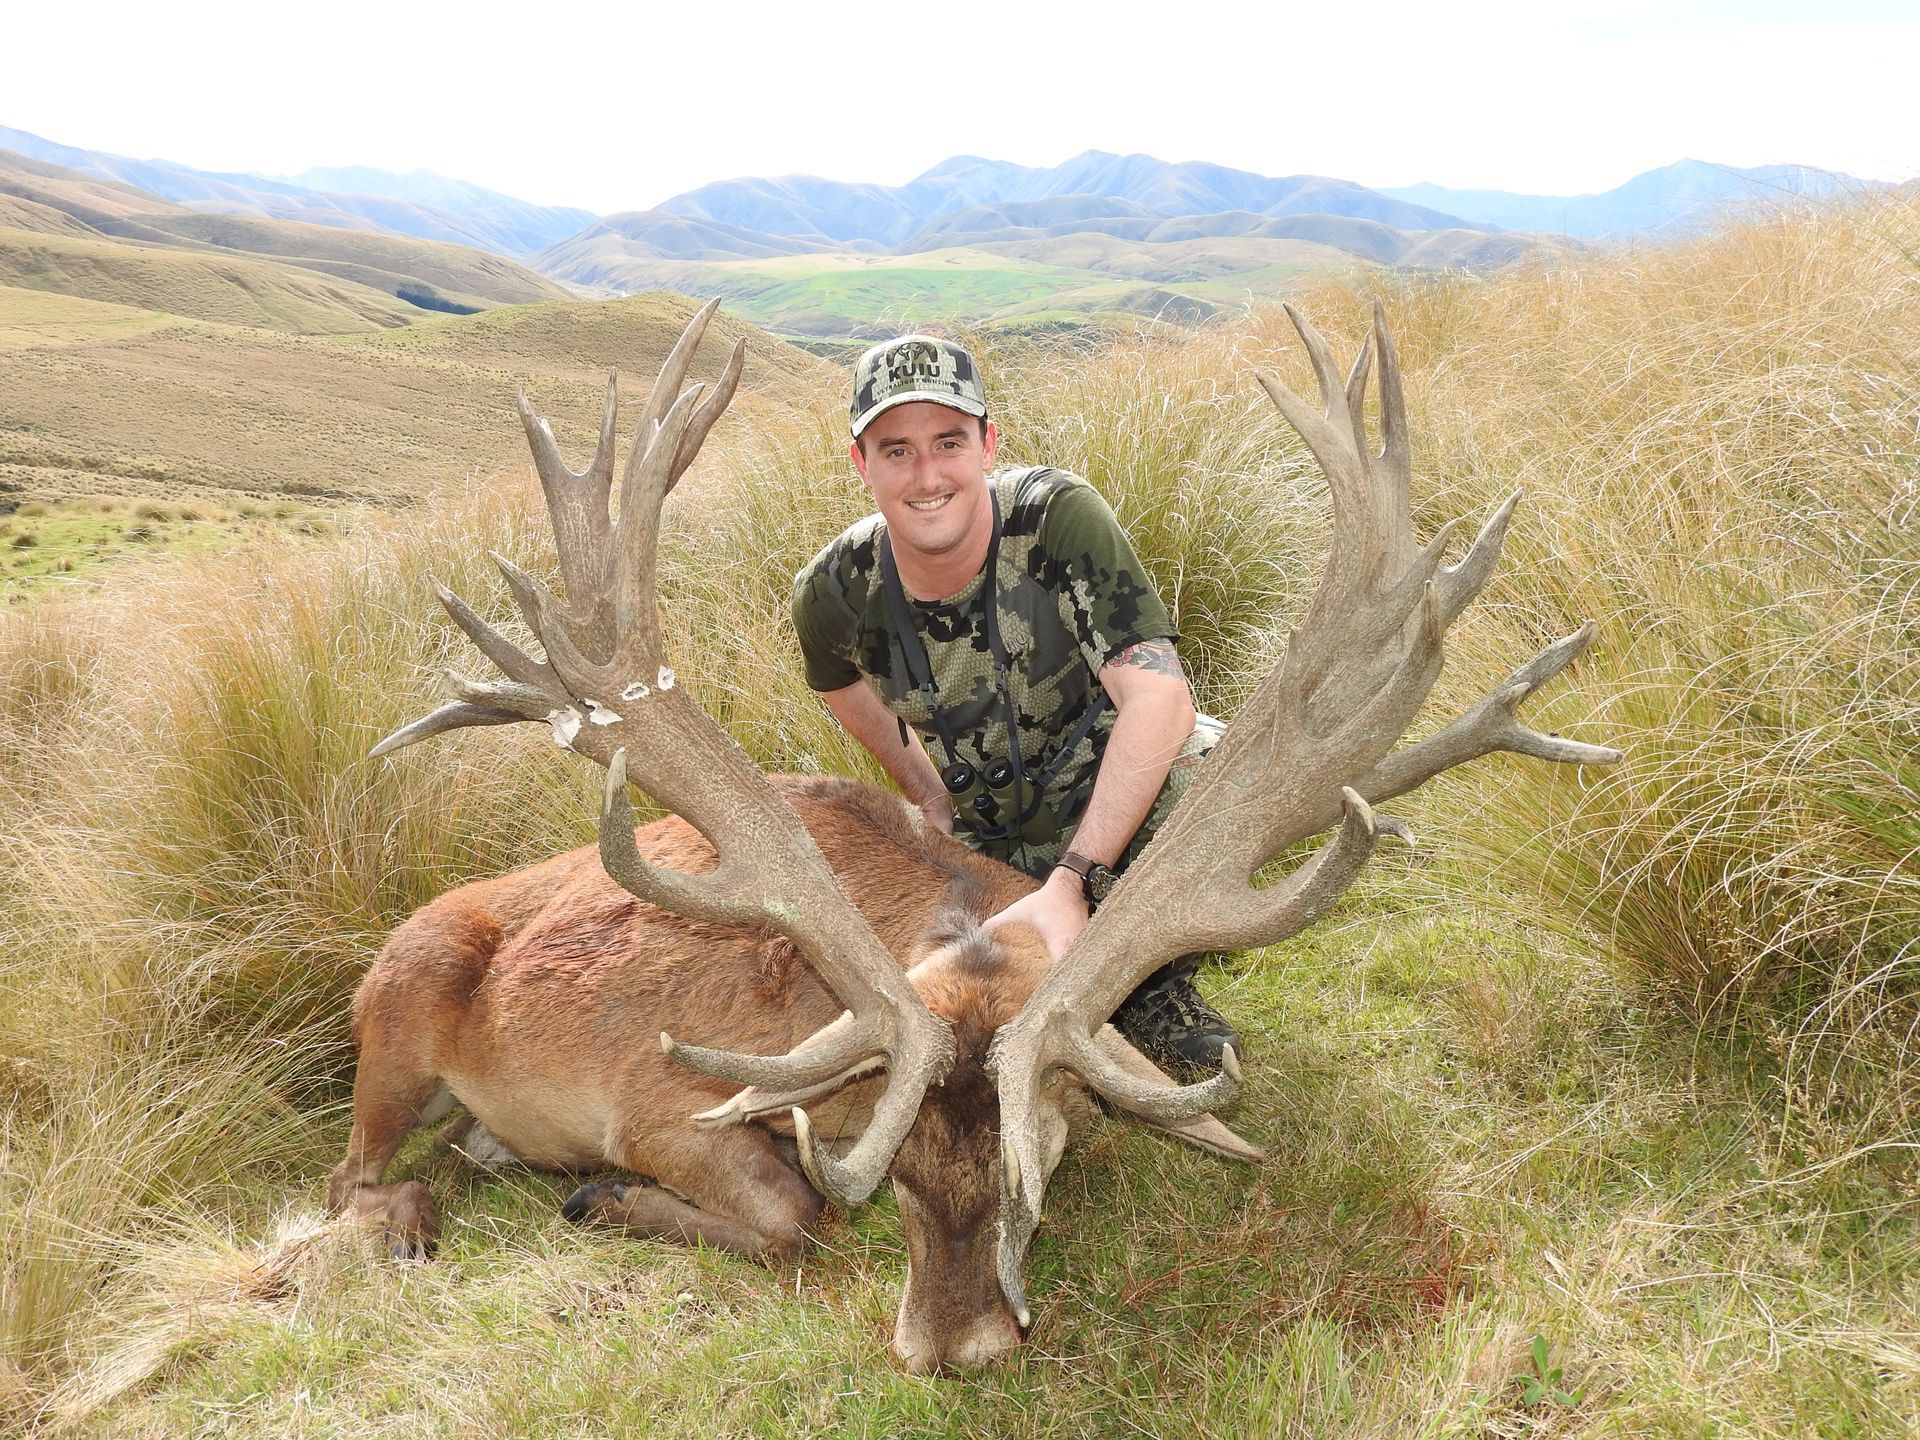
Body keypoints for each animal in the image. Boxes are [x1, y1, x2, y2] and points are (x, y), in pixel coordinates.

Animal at [329, 298, 1619, 1372]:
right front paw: (603, 1194)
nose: (954, 1351)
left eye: (1039, 1163)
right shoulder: (663, 1099)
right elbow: (796, 1214)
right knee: (355, 1180)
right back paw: (418, 1215)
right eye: (894, 1170)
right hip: (401, 1013)